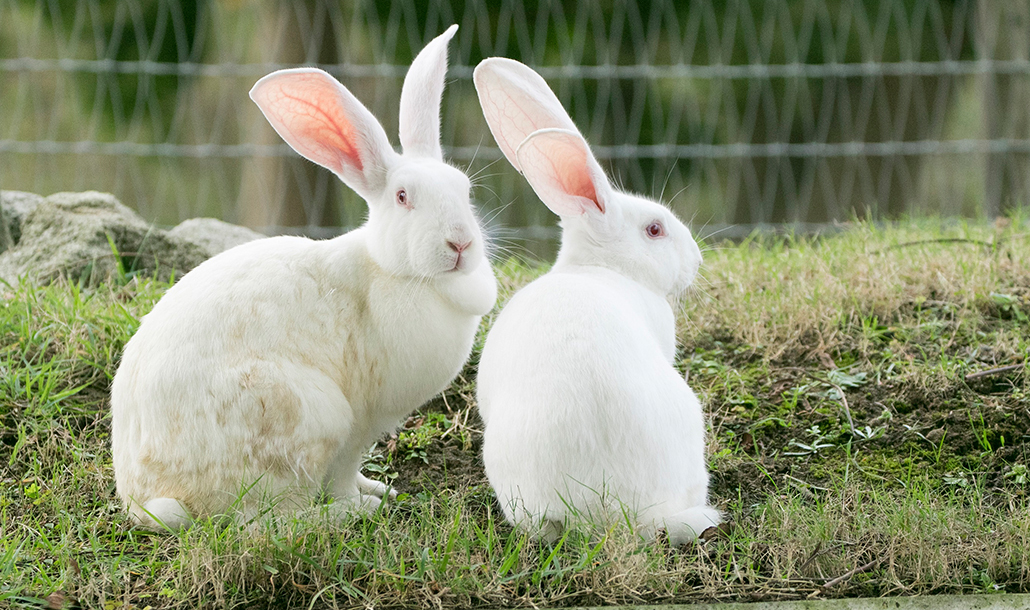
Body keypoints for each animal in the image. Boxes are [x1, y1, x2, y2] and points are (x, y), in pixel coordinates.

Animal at [110, 23, 496, 527]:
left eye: (465, 190)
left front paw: (381, 488)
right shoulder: (360, 422)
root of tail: (146, 495)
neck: (395, 271)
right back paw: (344, 517)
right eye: (403, 197)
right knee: (266, 521)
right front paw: (363, 501)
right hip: (312, 414)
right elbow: (344, 471)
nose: (460, 244)